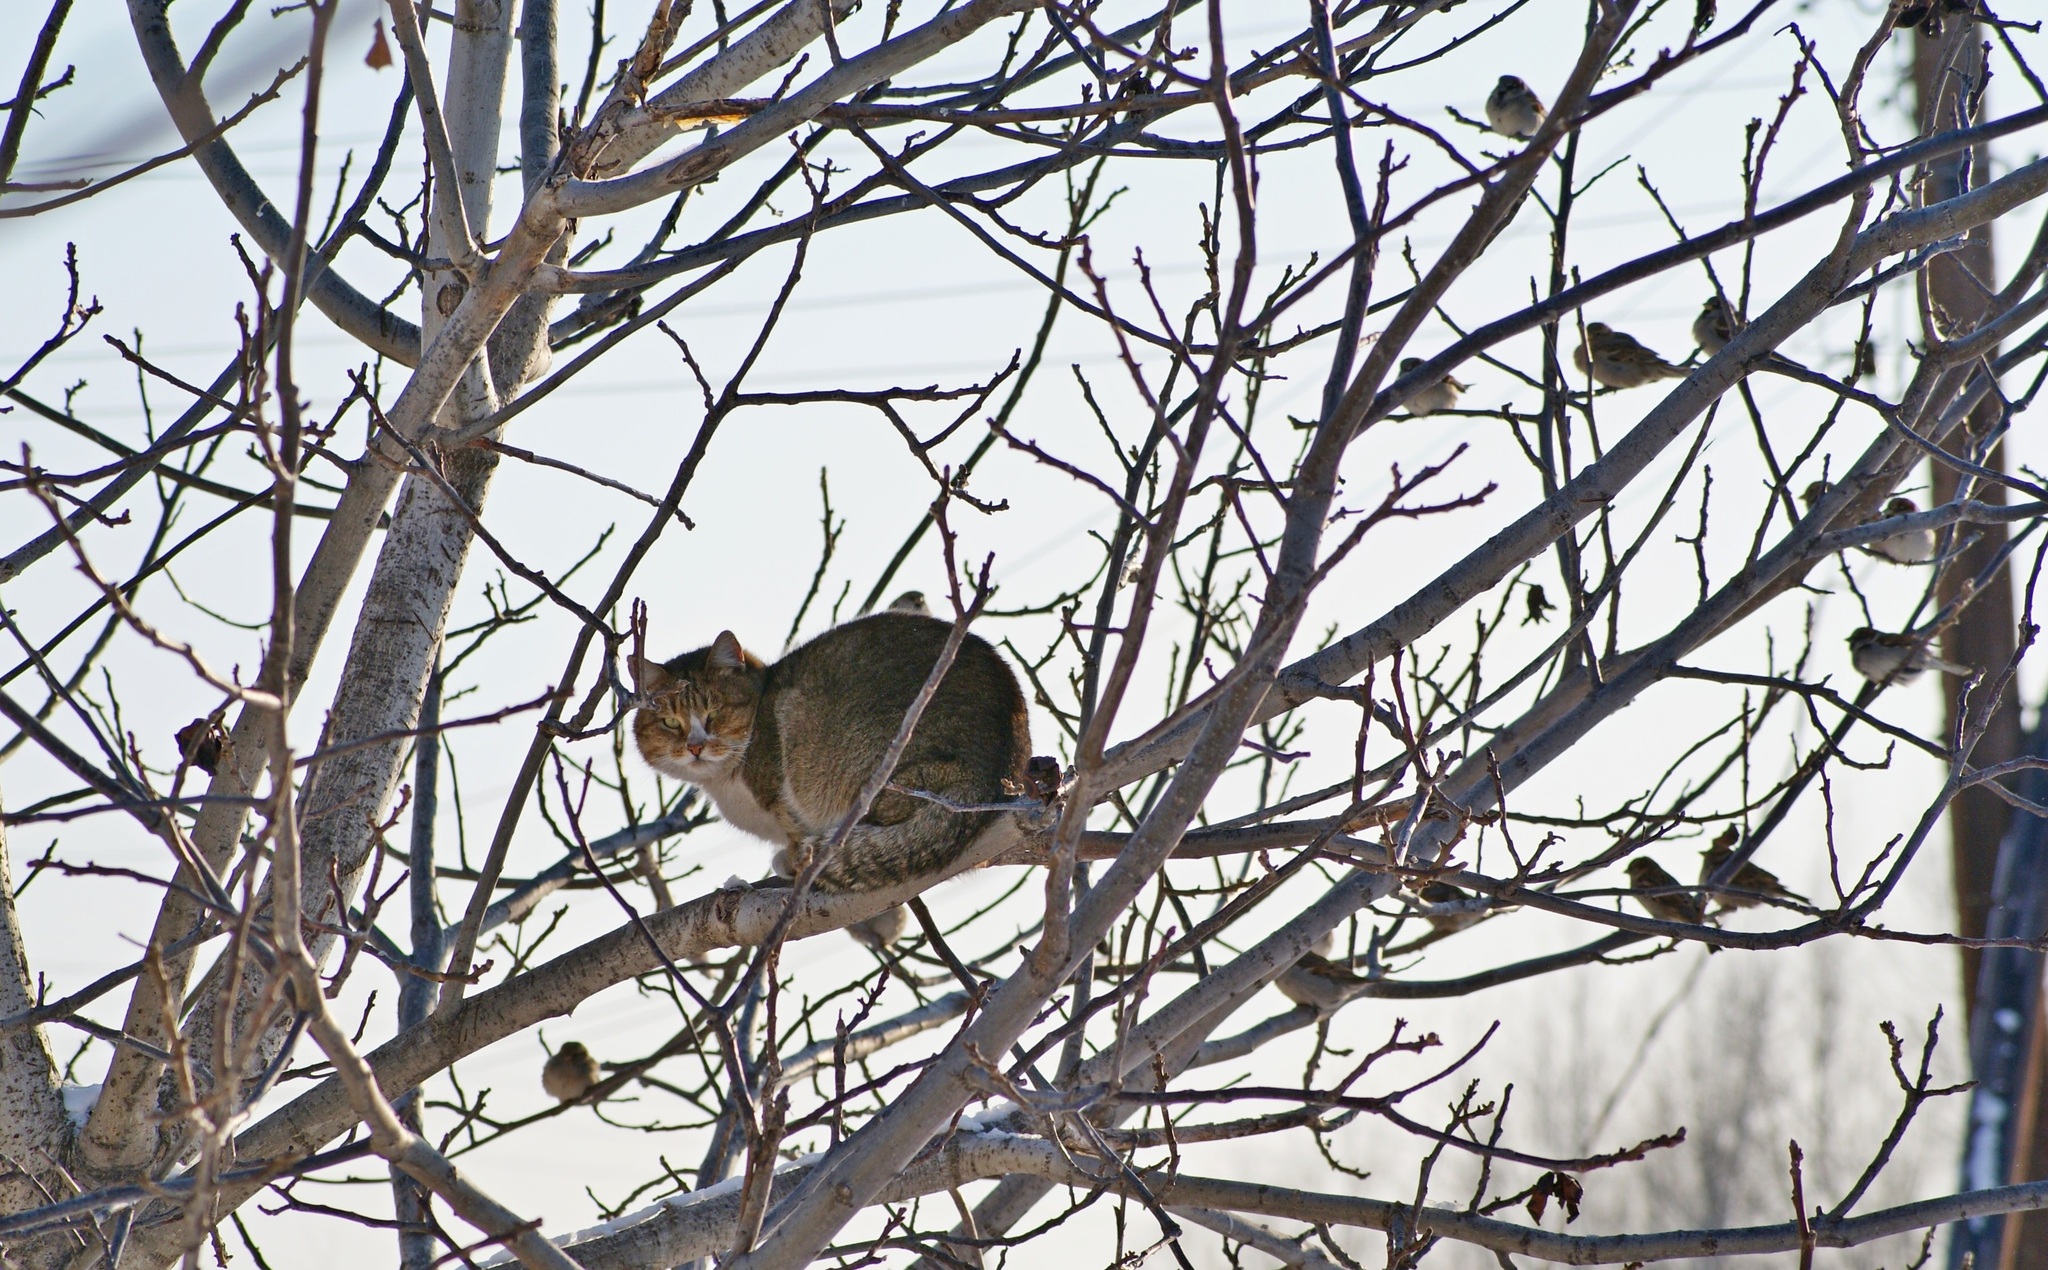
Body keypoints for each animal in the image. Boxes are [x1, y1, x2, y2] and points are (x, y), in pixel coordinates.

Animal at [630, 610, 1032, 889]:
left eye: (714, 713)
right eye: (670, 723)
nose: (695, 746)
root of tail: (992, 768)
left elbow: (794, 829)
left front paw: (793, 858)